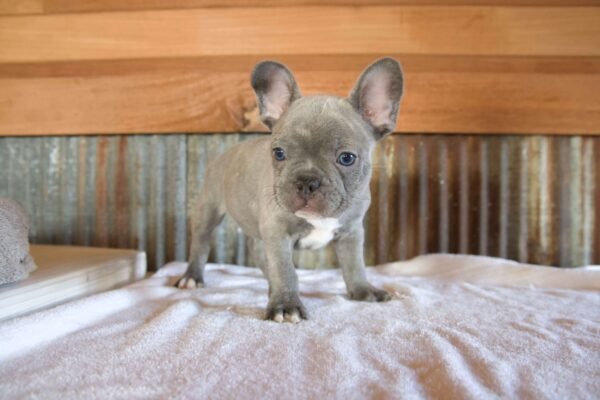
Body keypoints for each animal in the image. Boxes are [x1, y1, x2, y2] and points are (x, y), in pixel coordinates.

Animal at [176, 57, 406, 324]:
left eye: (347, 158)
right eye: (279, 153)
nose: (306, 181)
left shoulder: (351, 232)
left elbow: (354, 265)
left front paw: (363, 290)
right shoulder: (278, 232)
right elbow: (285, 270)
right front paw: (286, 304)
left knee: (258, 251)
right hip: (208, 210)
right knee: (201, 244)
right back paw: (192, 277)